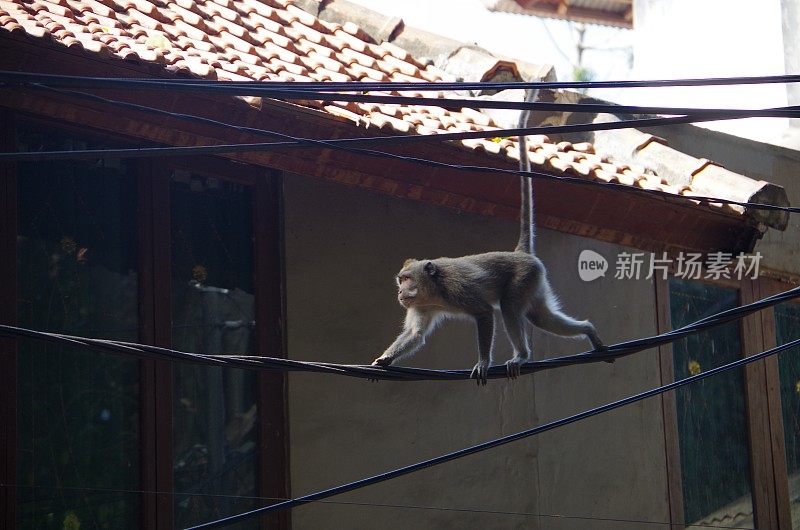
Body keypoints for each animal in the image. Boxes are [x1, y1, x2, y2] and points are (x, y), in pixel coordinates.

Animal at [372, 88, 604, 382]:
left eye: (406, 279)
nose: (400, 292)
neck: (435, 289)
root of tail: (519, 253)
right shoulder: (421, 305)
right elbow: (415, 334)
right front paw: (384, 360)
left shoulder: (459, 289)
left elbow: (484, 314)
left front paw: (483, 362)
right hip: (536, 282)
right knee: (540, 317)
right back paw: (589, 331)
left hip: (524, 277)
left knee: (509, 308)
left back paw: (522, 355)